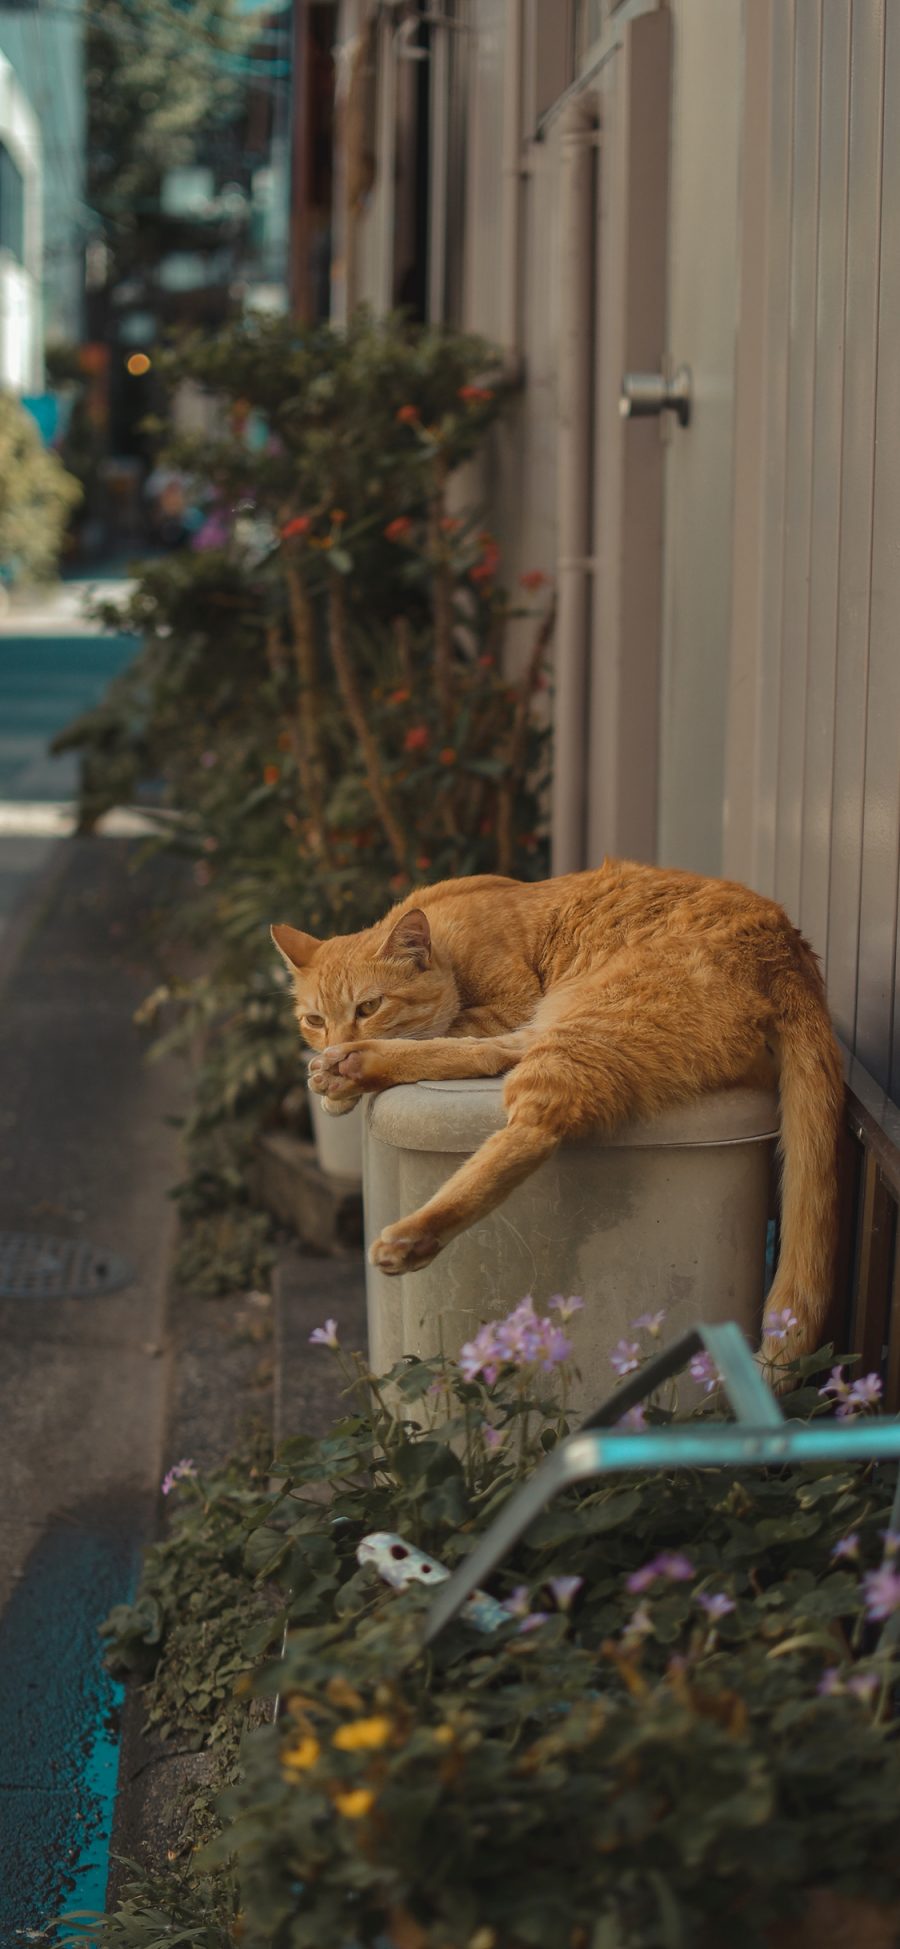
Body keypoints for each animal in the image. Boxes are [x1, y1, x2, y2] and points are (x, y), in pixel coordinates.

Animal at [272, 861, 845, 1364]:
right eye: (314, 1019)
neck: (447, 937)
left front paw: (337, 1079)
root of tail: (786, 947)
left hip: (588, 1021)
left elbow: (444, 1029)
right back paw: (356, 1067)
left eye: (369, 1007)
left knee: (535, 1122)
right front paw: (335, 1074)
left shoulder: (511, 1003)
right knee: (497, 1057)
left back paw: (413, 1229)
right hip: (570, 1018)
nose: (335, 1040)